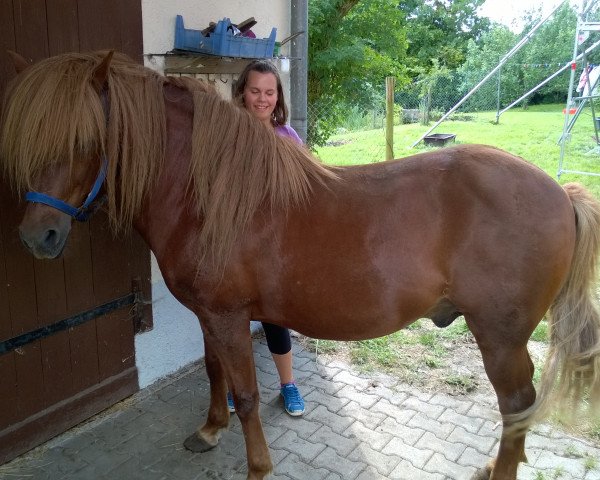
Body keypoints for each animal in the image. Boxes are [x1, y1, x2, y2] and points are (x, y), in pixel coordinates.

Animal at [1, 50, 600, 478]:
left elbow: (246, 395)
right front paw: (210, 429)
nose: (38, 237)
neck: (209, 196)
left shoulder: (226, 316)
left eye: (85, 139)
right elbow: (215, 372)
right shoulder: (212, 315)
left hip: (500, 336)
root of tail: (561, 192)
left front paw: (257, 467)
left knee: (516, 404)